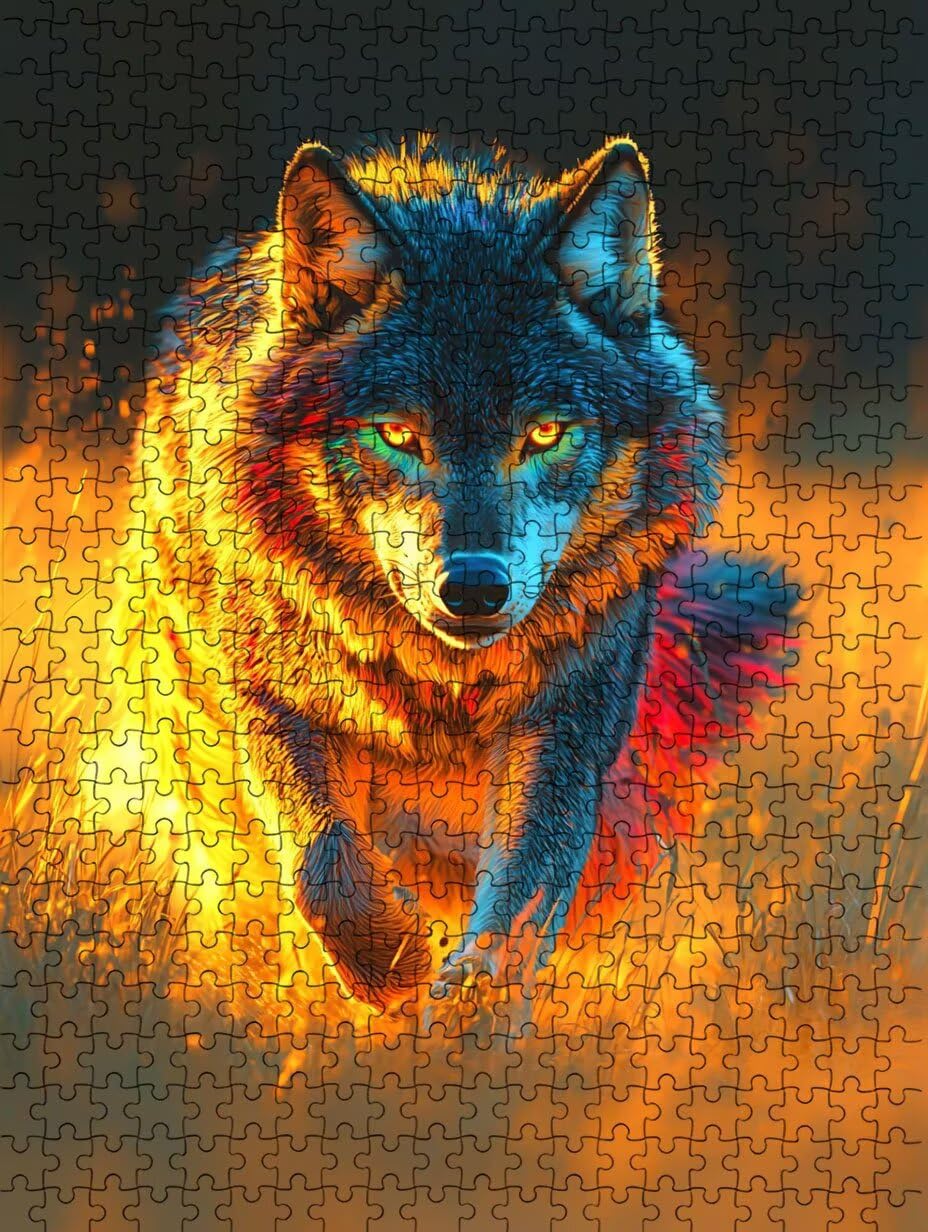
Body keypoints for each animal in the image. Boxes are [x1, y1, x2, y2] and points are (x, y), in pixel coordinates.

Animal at [145, 134, 790, 1018]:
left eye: (546, 433)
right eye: (395, 433)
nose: (476, 588)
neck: (439, 682)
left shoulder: (565, 727)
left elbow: (520, 902)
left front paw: (471, 1023)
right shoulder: (268, 704)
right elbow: (319, 864)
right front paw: (392, 965)